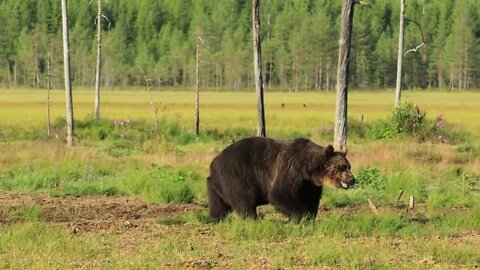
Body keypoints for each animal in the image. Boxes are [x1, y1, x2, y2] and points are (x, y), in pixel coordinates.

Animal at [207, 136, 356, 220]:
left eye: (349, 166)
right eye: (342, 167)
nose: (352, 179)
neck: (308, 168)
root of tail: (215, 160)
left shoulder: (308, 183)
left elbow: (311, 198)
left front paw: (310, 216)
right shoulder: (290, 169)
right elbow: (281, 193)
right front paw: (303, 217)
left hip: (216, 184)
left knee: (218, 204)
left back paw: (215, 218)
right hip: (237, 174)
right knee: (244, 199)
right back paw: (252, 218)